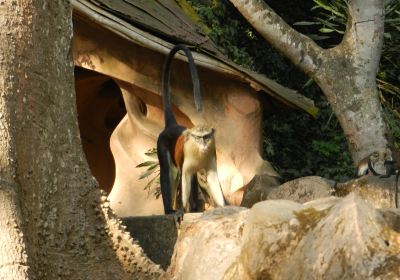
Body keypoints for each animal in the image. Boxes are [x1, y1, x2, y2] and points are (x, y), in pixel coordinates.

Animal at [155, 44, 225, 219]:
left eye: (206, 137)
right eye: (198, 138)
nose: (204, 145)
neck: (199, 152)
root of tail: (172, 126)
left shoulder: (212, 155)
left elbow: (212, 177)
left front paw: (224, 207)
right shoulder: (185, 159)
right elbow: (184, 177)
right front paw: (181, 210)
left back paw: (194, 208)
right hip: (162, 144)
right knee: (167, 171)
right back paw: (170, 210)